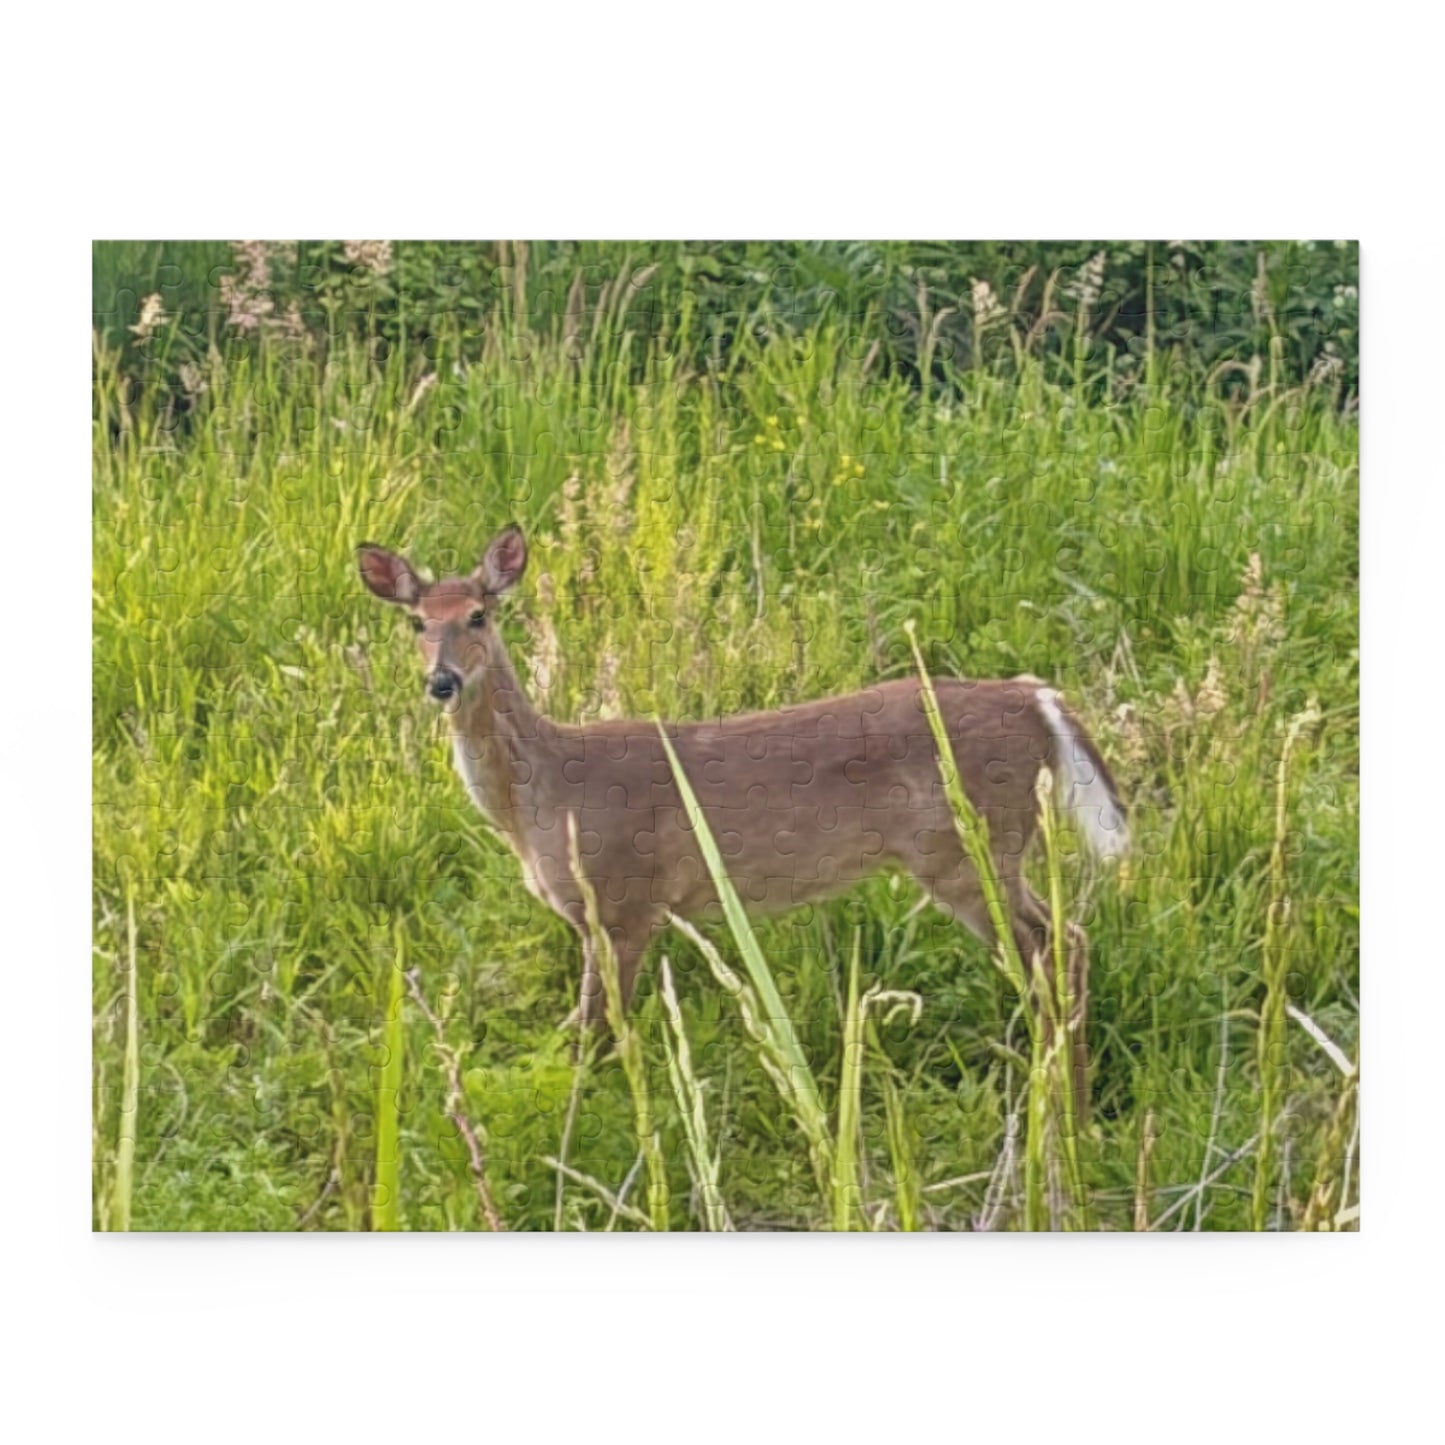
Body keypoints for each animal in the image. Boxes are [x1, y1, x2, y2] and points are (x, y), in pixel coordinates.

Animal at [358, 523, 1129, 1111]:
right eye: (416, 622)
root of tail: (1037, 699)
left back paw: (1066, 1109)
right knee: (1065, 939)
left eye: (479, 616)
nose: (442, 681)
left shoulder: (624, 903)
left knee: (1057, 943)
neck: (546, 793)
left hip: (970, 849)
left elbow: (598, 1029)